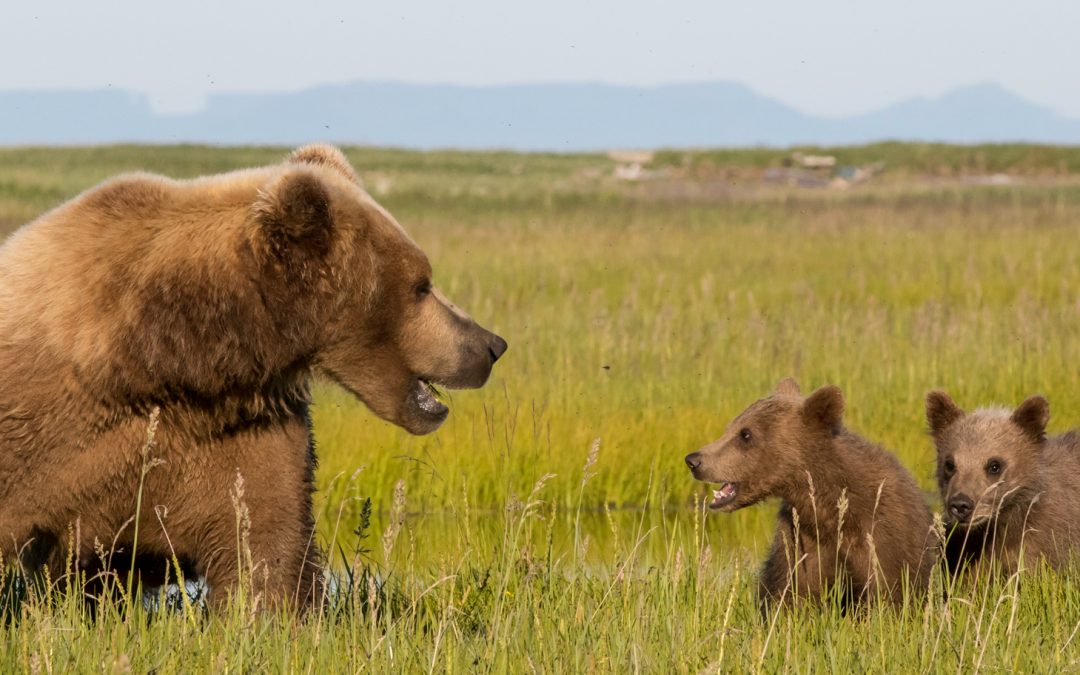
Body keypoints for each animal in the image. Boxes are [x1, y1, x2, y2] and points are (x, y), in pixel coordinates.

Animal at [685, 378, 936, 612]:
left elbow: (889, 594)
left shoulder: (883, 537)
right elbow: (789, 592)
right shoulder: (801, 538)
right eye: (731, 427)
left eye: (746, 434)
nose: (694, 460)